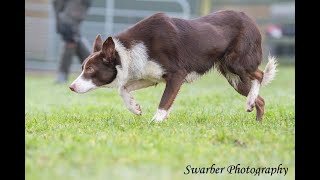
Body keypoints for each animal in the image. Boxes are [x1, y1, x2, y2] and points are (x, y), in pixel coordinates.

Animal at [69, 9, 276, 122]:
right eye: (82, 68)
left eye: (90, 70)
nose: (71, 87)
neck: (129, 50)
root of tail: (250, 19)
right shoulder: (150, 76)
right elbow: (123, 88)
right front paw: (134, 107)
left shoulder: (177, 76)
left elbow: (164, 102)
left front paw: (156, 121)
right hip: (234, 79)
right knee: (261, 99)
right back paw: (255, 117)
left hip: (237, 63)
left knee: (259, 75)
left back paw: (250, 101)